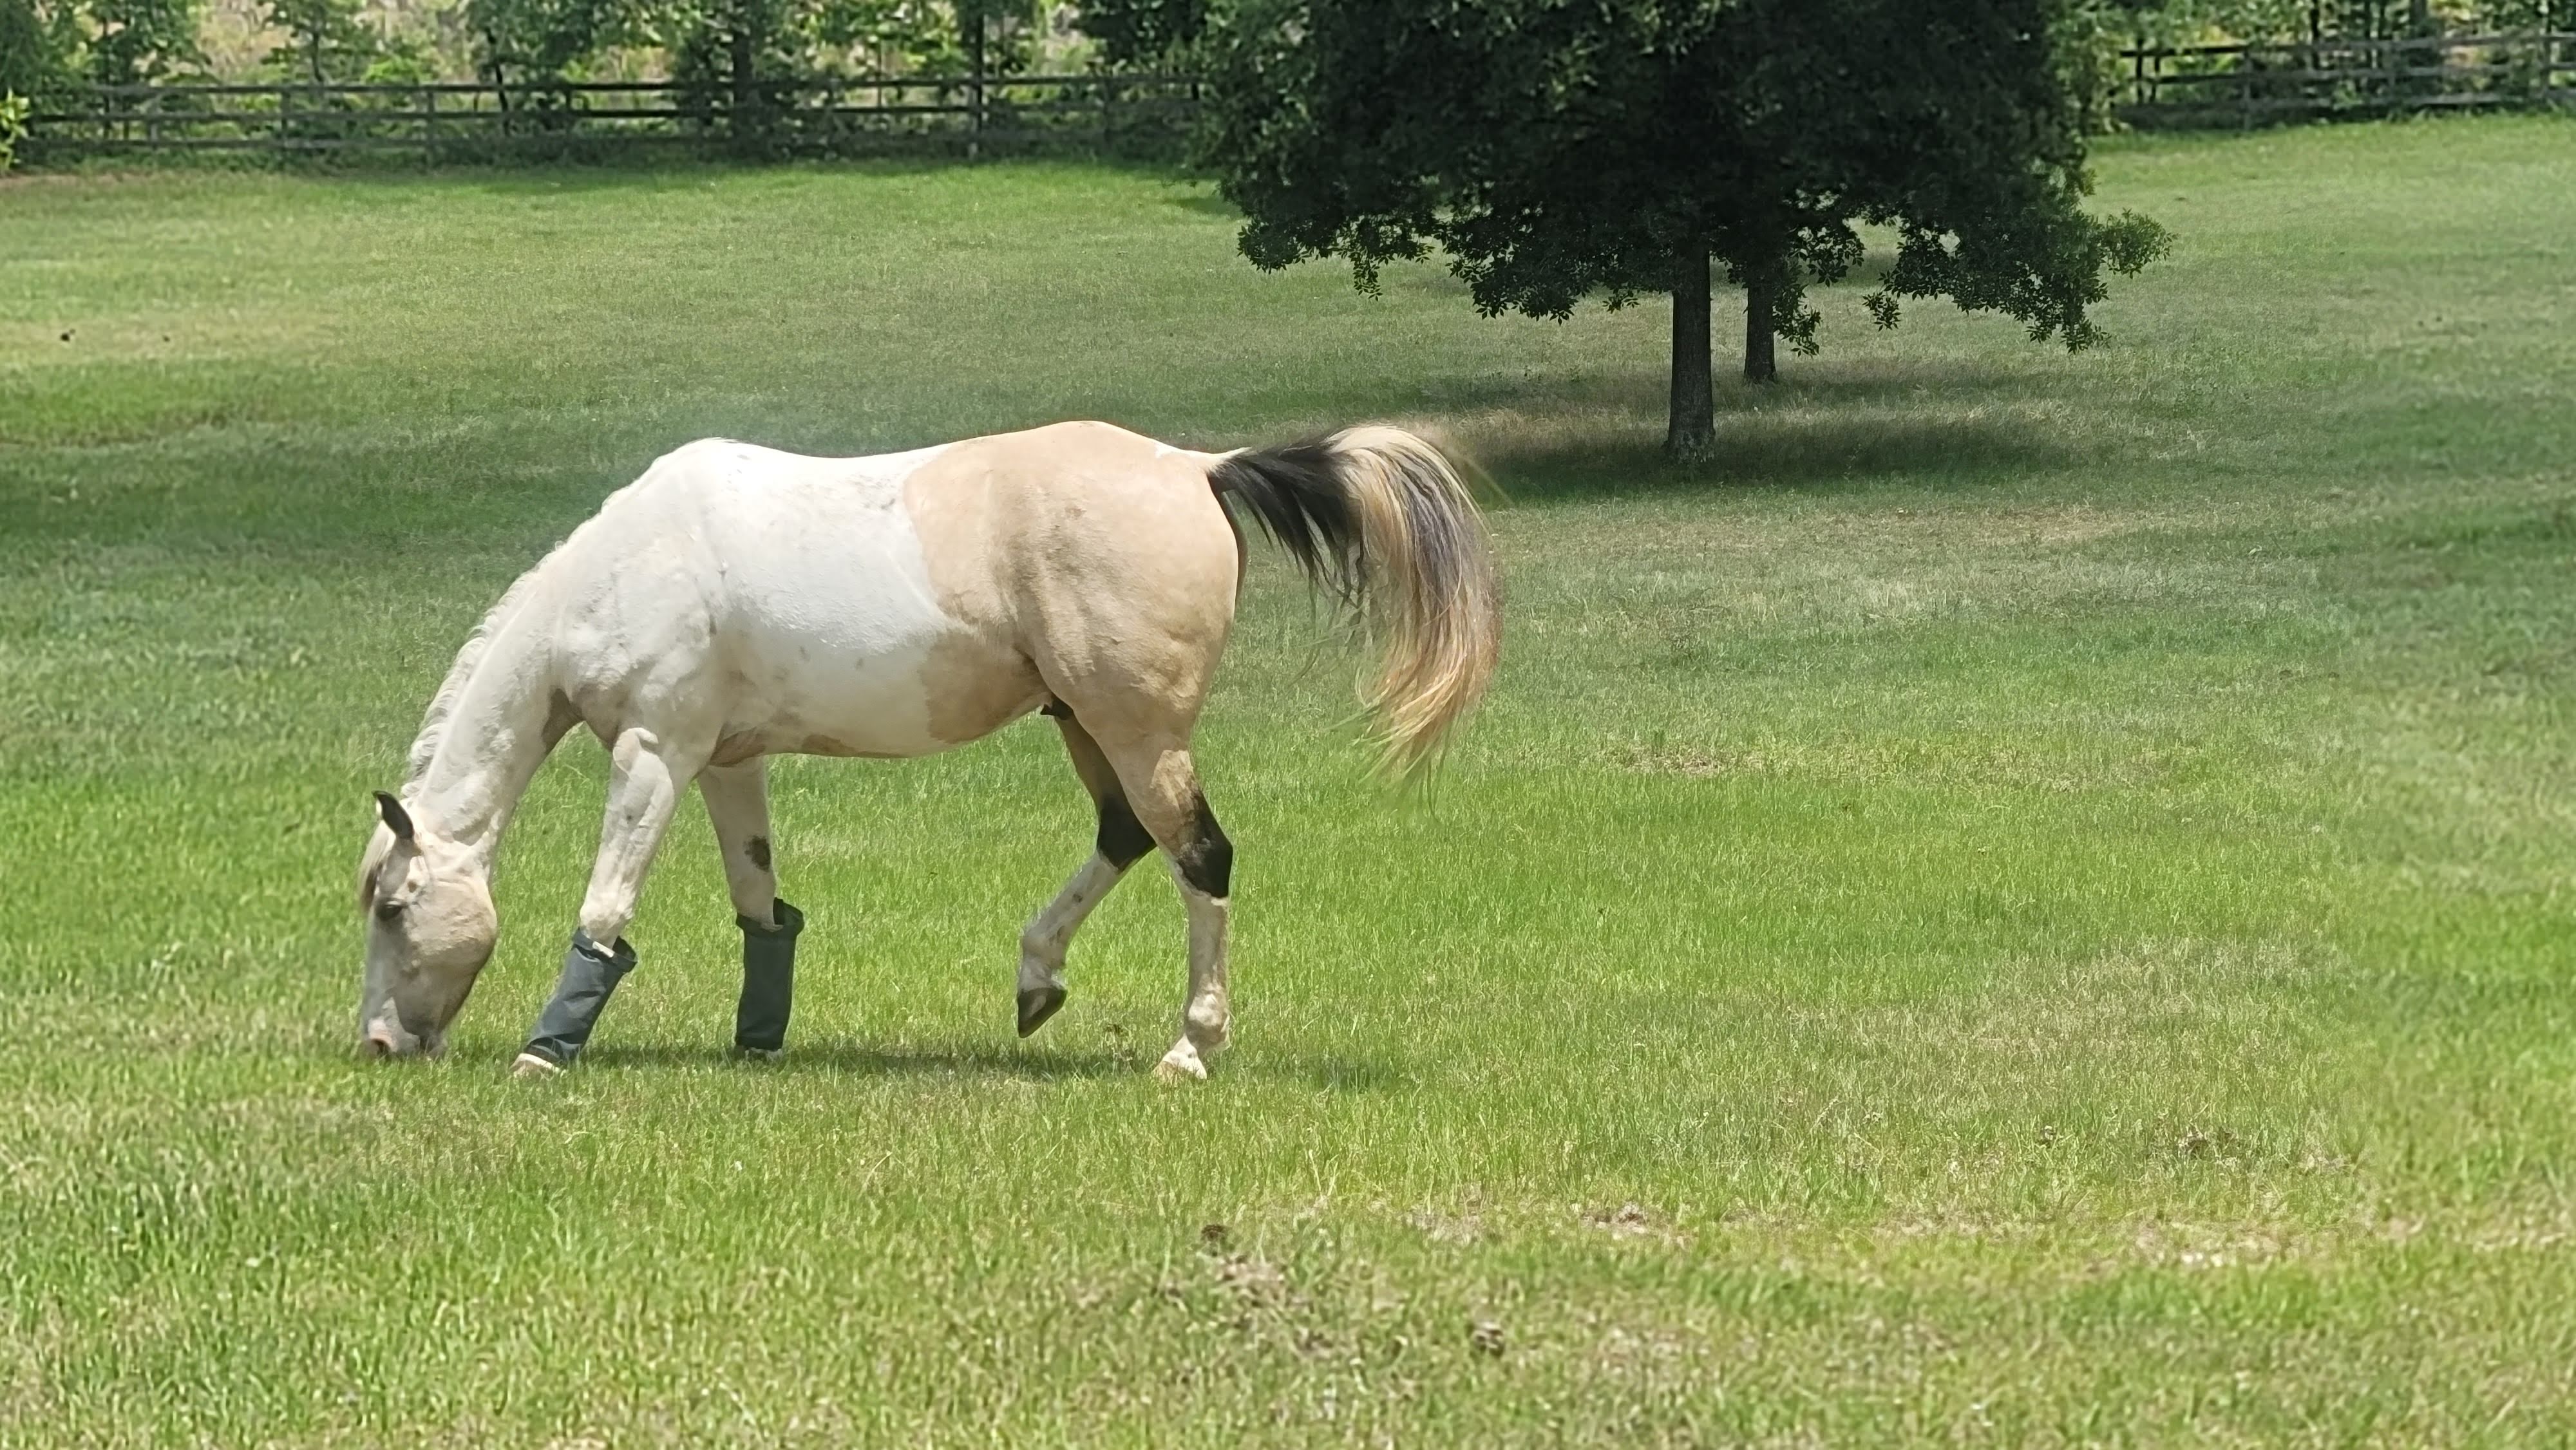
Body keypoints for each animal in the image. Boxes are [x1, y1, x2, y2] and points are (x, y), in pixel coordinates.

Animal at [354, 420, 1500, 1081]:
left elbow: (605, 906)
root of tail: (1196, 469)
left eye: (395, 906)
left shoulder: (654, 754)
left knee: (1199, 857)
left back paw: (1189, 1049)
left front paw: (547, 1052)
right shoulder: (726, 763)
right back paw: (1037, 981)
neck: (635, 564)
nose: (380, 1043)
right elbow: (760, 902)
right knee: (1126, 837)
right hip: (1085, 724)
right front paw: (758, 1040)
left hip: (1138, 731)